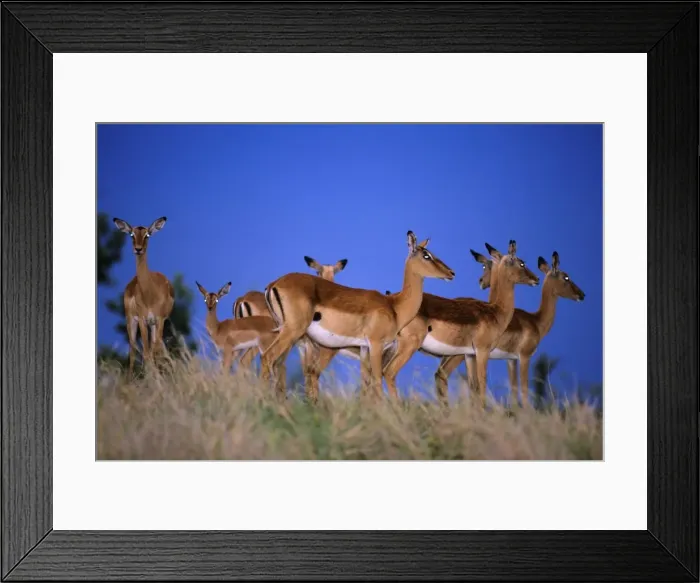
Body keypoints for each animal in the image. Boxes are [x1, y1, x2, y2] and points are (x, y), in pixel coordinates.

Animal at [113, 216, 174, 376]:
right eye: (131, 234)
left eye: (147, 235)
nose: (138, 249)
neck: (149, 294)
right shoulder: (142, 320)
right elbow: (147, 353)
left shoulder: (159, 319)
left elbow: (155, 350)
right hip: (131, 321)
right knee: (133, 349)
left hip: (153, 324)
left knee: (154, 348)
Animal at [259, 231, 455, 399]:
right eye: (426, 255)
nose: (451, 273)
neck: (394, 307)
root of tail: (274, 283)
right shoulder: (376, 345)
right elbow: (377, 381)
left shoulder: (364, 348)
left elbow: (367, 384)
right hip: (292, 332)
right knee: (268, 357)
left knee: (278, 365)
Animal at [380, 241, 539, 406]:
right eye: (522, 263)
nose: (536, 279)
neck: (495, 311)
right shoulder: (482, 351)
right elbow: (482, 385)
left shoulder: (469, 355)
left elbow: (473, 387)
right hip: (408, 346)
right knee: (389, 372)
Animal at [456, 250, 585, 406]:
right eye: (566, 277)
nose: (582, 294)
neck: (535, 320)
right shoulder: (524, 356)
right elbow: (524, 389)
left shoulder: (511, 359)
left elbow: (514, 389)